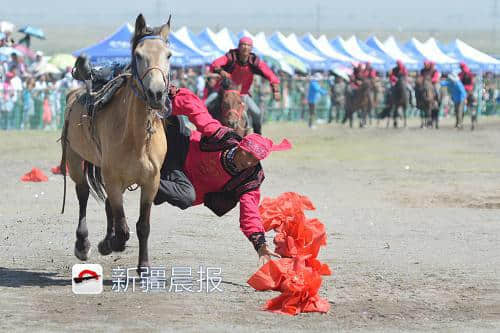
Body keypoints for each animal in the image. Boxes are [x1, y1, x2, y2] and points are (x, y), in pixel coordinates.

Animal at [60, 14, 172, 272]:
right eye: (138, 55)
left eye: (169, 55)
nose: (156, 94)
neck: (136, 138)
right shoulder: (112, 178)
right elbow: (123, 227)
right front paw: (111, 243)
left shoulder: (151, 182)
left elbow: (142, 226)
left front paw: (144, 268)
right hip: (75, 159)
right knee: (83, 193)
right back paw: (83, 244)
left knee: (109, 205)